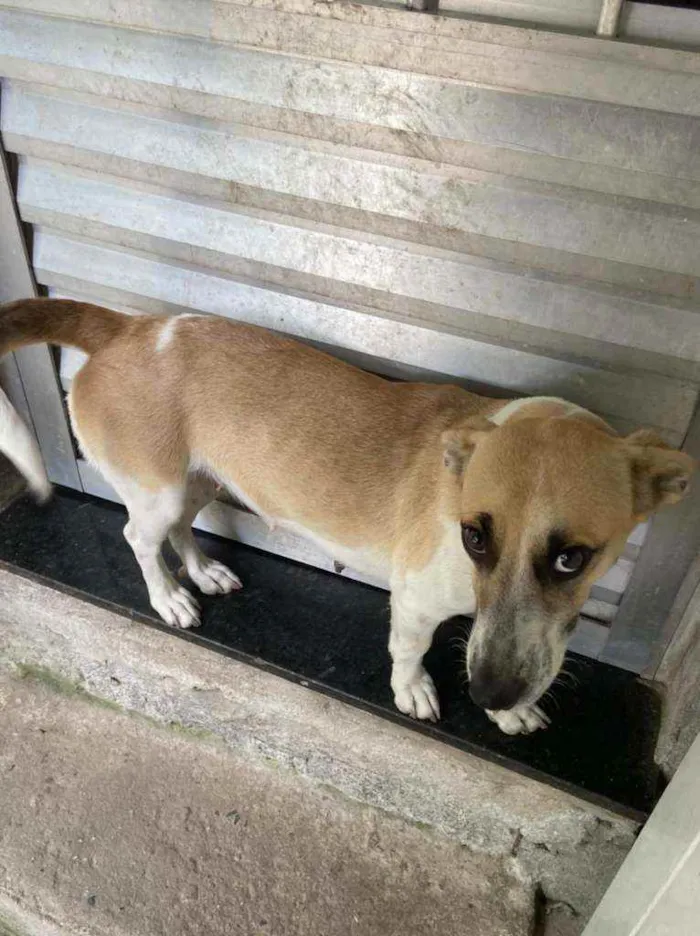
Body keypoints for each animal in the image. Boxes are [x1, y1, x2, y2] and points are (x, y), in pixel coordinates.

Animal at [0, 298, 696, 732]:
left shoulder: (507, 636)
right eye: (473, 537)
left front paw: (506, 712)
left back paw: (202, 574)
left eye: (572, 558)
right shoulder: (416, 599)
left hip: (198, 482)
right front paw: (416, 691)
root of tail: (128, 328)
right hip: (159, 491)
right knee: (138, 538)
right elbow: (412, 650)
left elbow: (503, 648)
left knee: (177, 530)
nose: (491, 695)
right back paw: (169, 596)